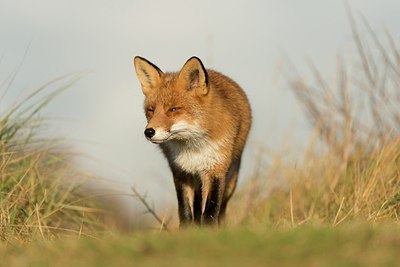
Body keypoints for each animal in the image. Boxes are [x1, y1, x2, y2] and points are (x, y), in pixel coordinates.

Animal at [134, 56, 250, 226]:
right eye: (151, 110)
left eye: (173, 109)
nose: (148, 132)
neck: (193, 148)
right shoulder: (181, 171)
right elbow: (185, 212)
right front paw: (189, 230)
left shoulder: (215, 170)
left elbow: (210, 211)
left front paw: (207, 230)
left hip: (230, 181)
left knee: (221, 208)